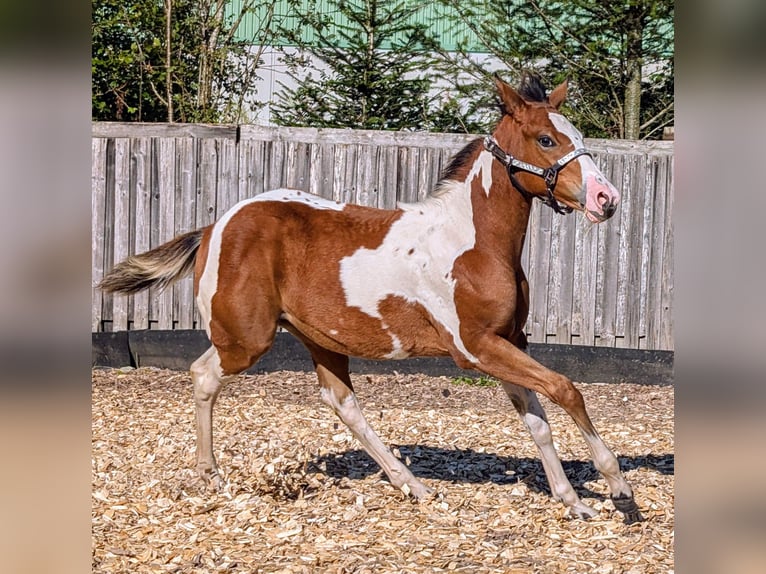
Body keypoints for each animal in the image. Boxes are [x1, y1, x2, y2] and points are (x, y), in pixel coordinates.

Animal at [99, 74, 644, 524]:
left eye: (579, 137)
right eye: (546, 139)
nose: (607, 199)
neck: (472, 243)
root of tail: (216, 227)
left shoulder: (508, 343)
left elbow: (537, 420)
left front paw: (573, 502)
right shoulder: (475, 349)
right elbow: (565, 390)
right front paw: (619, 490)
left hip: (319, 338)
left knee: (343, 403)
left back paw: (413, 485)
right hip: (246, 339)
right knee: (204, 375)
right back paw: (211, 474)